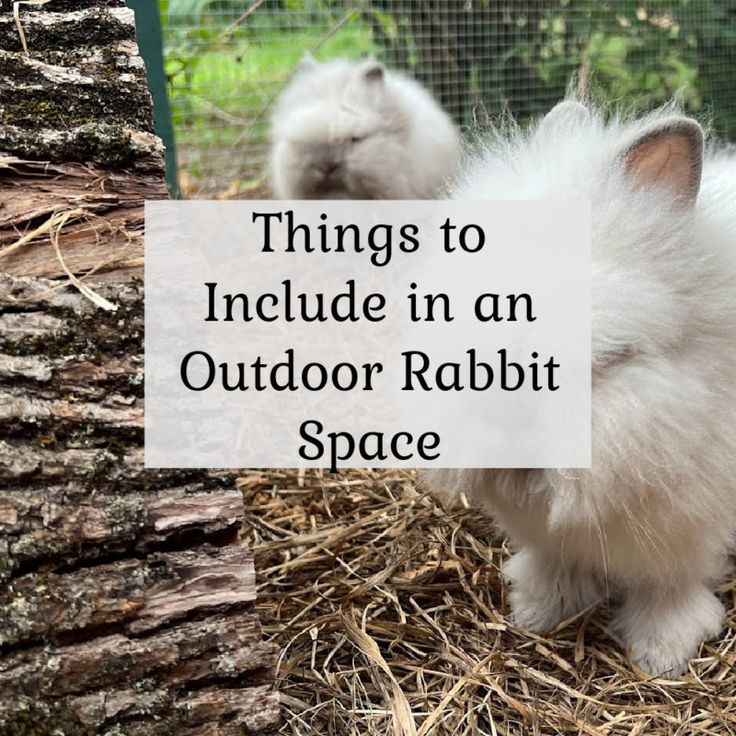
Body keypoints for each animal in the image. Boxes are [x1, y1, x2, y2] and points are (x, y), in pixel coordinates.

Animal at [422, 100, 736, 676]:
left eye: (610, 353)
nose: (506, 418)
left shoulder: (691, 527)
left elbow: (672, 586)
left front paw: (662, 652)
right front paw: (537, 610)